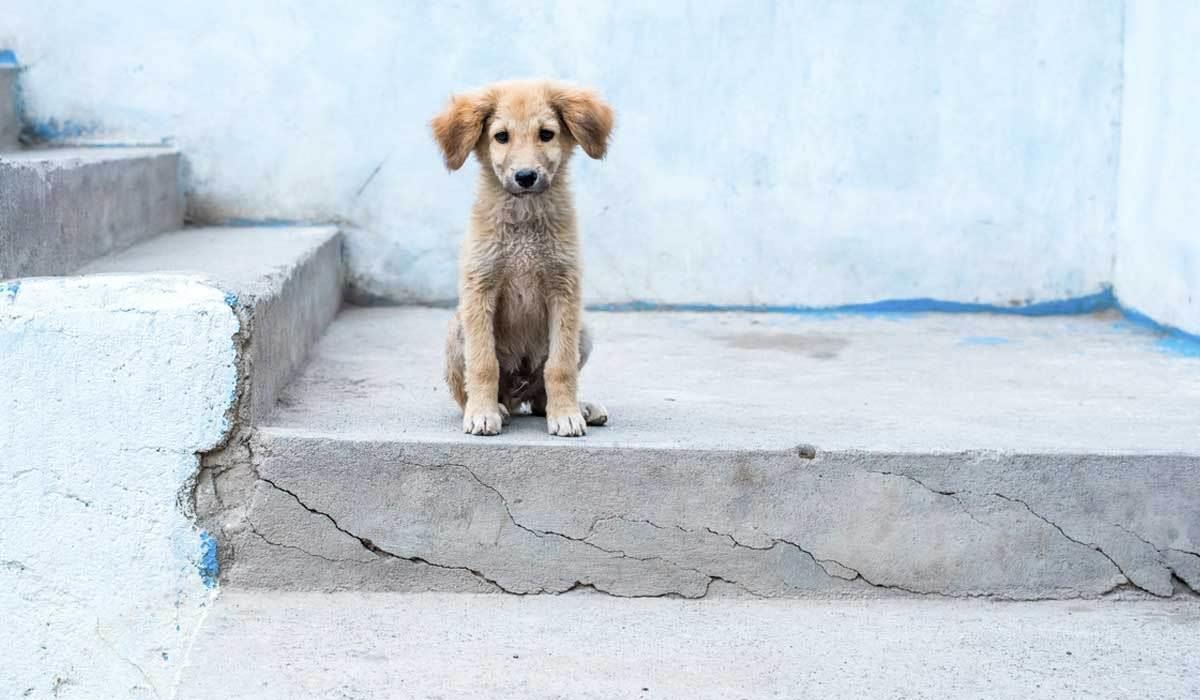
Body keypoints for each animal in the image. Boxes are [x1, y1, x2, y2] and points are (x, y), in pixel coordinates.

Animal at [432, 79, 614, 434]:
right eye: (501, 136)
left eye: (546, 134)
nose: (526, 176)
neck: (525, 222)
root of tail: (519, 393)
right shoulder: (480, 289)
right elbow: (483, 363)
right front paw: (482, 413)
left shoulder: (564, 290)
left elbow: (560, 366)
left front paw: (566, 414)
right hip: (455, 332)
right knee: (475, 393)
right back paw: (495, 407)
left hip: (583, 332)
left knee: (540, 397)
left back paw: (579, 407)